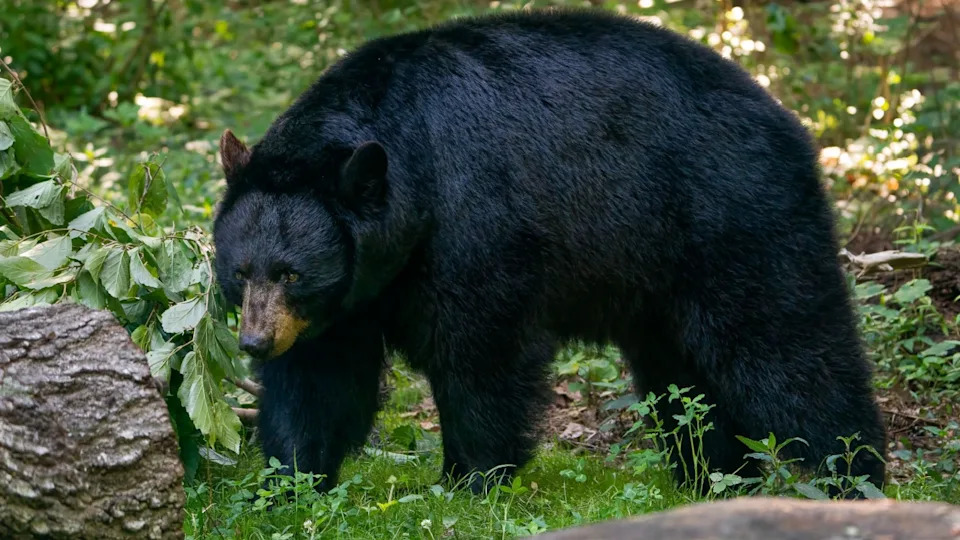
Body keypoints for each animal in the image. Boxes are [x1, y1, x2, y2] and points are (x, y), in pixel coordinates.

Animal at [212, 8, 887, 496]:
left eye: (291, 273)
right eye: (241, 272)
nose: (253, 342)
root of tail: (786, 120)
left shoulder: (471, 223)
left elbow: (482, 353)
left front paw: (469, 481)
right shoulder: (349, 294)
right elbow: (317, 376)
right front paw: (289, 479)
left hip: (735, 215)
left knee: (787, 343)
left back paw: (855, 473)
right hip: (662, 280)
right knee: (685, 378)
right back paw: (714, 478)